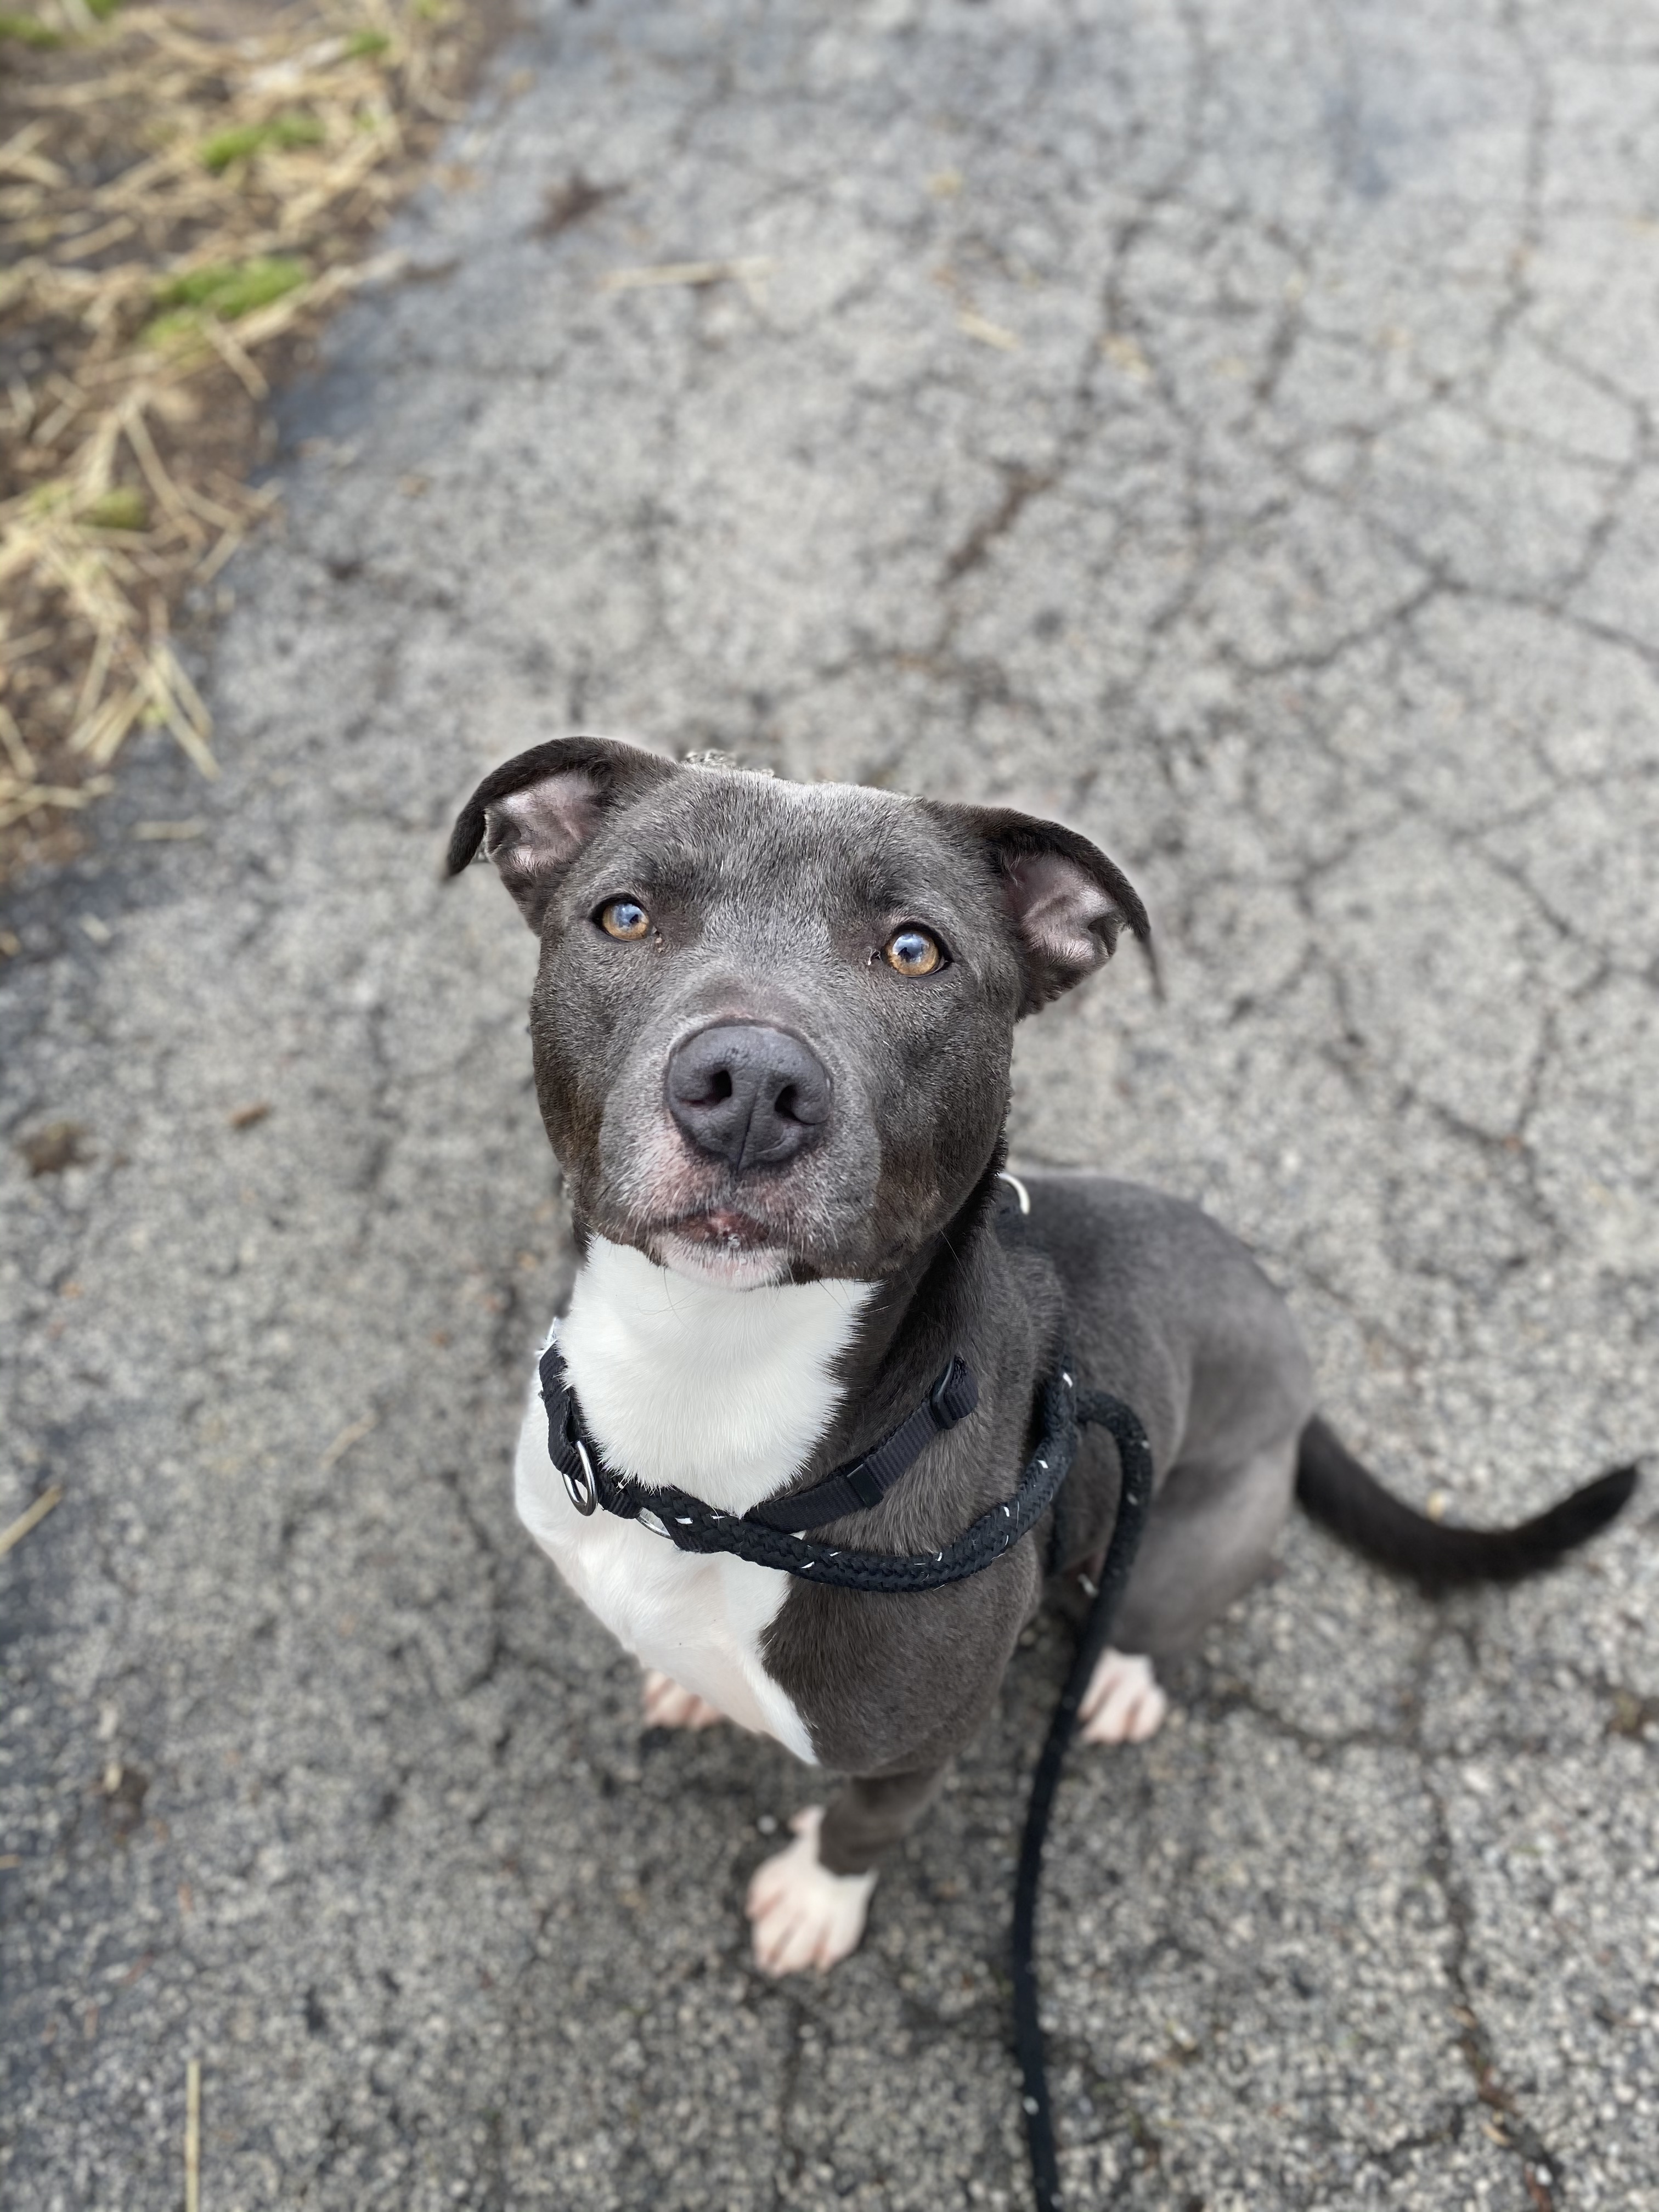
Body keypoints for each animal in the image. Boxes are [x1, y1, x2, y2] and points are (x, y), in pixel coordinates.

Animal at [449, 738, 1645, 1973]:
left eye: (915, 949)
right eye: (626, 916)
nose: (749, 1088)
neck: (708, 1384)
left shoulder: (921, 1744)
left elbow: (866, 1821)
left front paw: (817, 1897)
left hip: (1193, 1531)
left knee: (1157, 1615)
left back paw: (1117, 1675)